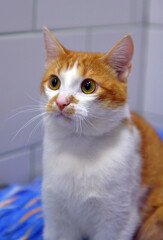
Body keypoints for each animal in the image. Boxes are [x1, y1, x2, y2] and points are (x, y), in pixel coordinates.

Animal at [40, 27, 163, 240]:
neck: (77, 147)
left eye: (88, 86)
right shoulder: (56, 216)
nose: (61, 102)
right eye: (54, 82)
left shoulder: (116, 220)